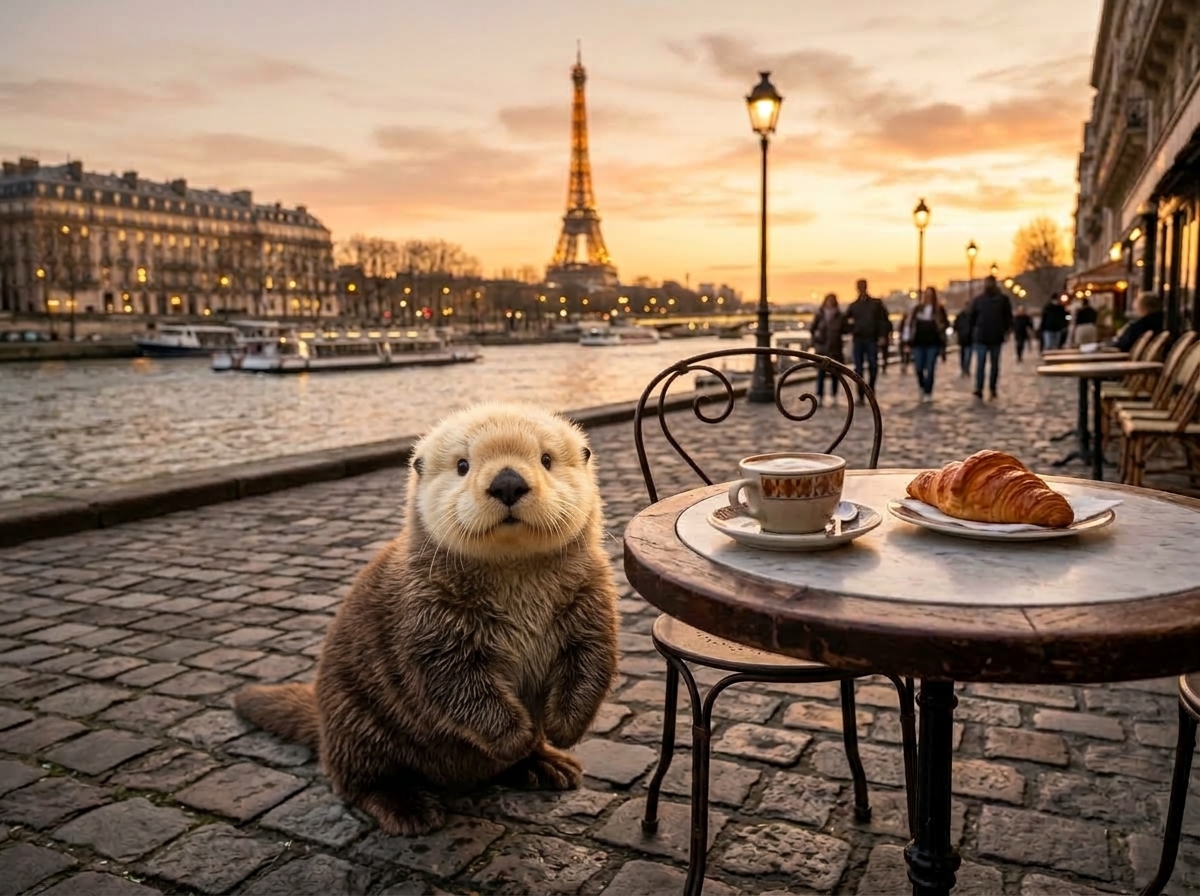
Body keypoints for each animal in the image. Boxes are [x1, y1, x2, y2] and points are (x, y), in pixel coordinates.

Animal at [234, 403, 620, 835]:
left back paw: (547, 763)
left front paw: (563, 729)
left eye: (546, 459)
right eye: (463, 465)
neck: (517, 588)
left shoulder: (593, 599)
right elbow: (457, 687)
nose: (507, 482)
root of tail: (321, 716)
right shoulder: (428, 620)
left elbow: (592, 663)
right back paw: (410, 806)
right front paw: (514, 737)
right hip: (357, 720)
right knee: (359, 780)